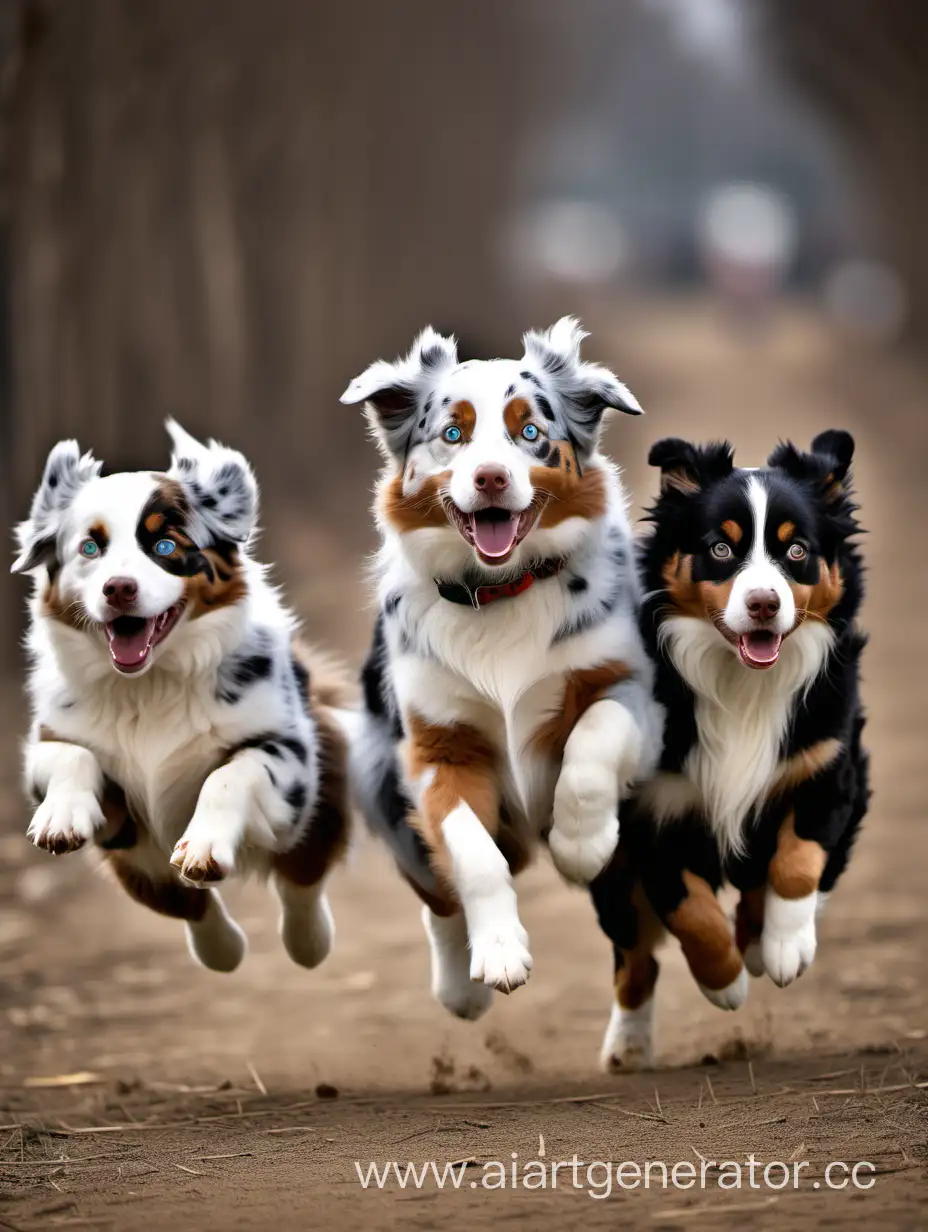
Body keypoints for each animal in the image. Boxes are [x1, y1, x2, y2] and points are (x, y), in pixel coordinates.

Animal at [10, 421, 350, 970]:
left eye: (166, 547)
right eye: (90, 549)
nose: (118, 588)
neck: (150, 685)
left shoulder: (287, 750)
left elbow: (228, 776)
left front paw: (203, 850)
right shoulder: (55, 745)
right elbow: (71, 757)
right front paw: (60, 819)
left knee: (301, 875)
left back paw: (307, 943)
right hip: (133, 864)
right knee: (185, 902)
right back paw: (224, 952)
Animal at [340, 317, 660, 1020]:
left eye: (530, 432)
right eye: (452, 434)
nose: (489, 478)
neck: (500, 590)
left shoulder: (632, 690)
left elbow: (592, 745)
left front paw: (579, 847)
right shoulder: (438, 747)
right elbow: (470, 852)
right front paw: (498, 957)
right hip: (378, 777)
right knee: (437, 895)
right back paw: (459, 991)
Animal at [589, 428, 867, 1074]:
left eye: (797, 551)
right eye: (720, 548)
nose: (765, 603)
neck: (742, 682)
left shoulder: (827, 767)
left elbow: (797, 862)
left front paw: (783, 946)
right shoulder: (651, 811)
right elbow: (689, 912)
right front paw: (725, 982)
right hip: (608, 869)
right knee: (634, 957)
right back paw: (627, 1045)